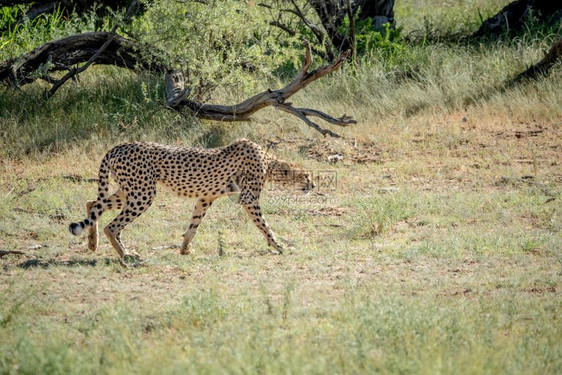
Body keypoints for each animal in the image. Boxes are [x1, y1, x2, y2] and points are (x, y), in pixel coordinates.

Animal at [68, 139, 312, 264]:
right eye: (307, 176)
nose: (314, 186)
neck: (269, 161)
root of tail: (120, 145)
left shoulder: (206, 197)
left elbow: (194, 223)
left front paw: (185, 248)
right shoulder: (248, 198)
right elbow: (264, 225)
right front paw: (279, 245)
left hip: (131, 190)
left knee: (93, 204)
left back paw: (93, 243)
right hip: (142, 193)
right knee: (112, 225)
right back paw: (126, 254)